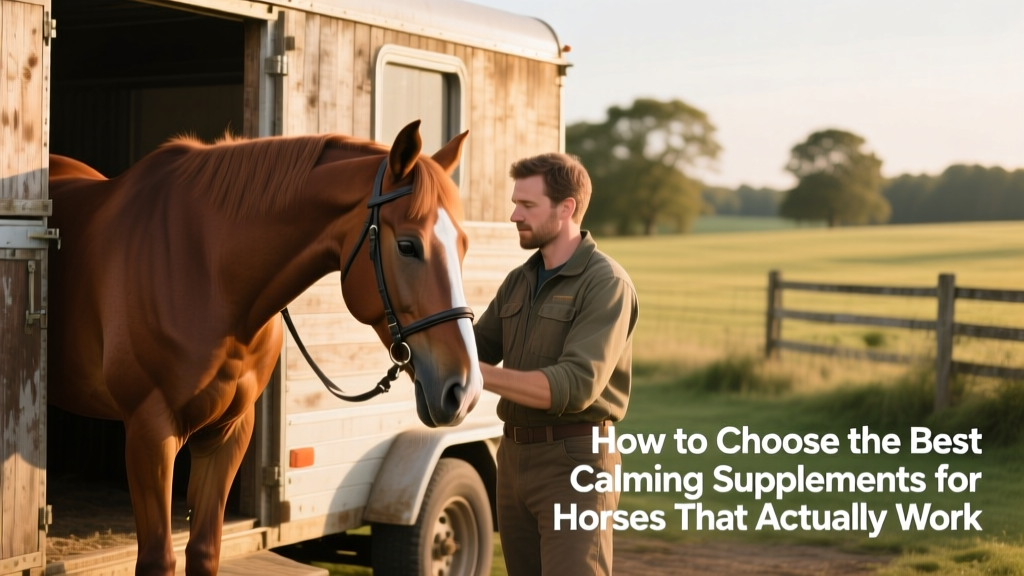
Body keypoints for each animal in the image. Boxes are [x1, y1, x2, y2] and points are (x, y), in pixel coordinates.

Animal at [46, 120, 483, 576]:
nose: (465, 389)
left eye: (464, 245)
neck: (207, 270)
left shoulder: (229, 432)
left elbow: (204, 550)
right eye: (408, 245)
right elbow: (157, 559)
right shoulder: (150, 433)